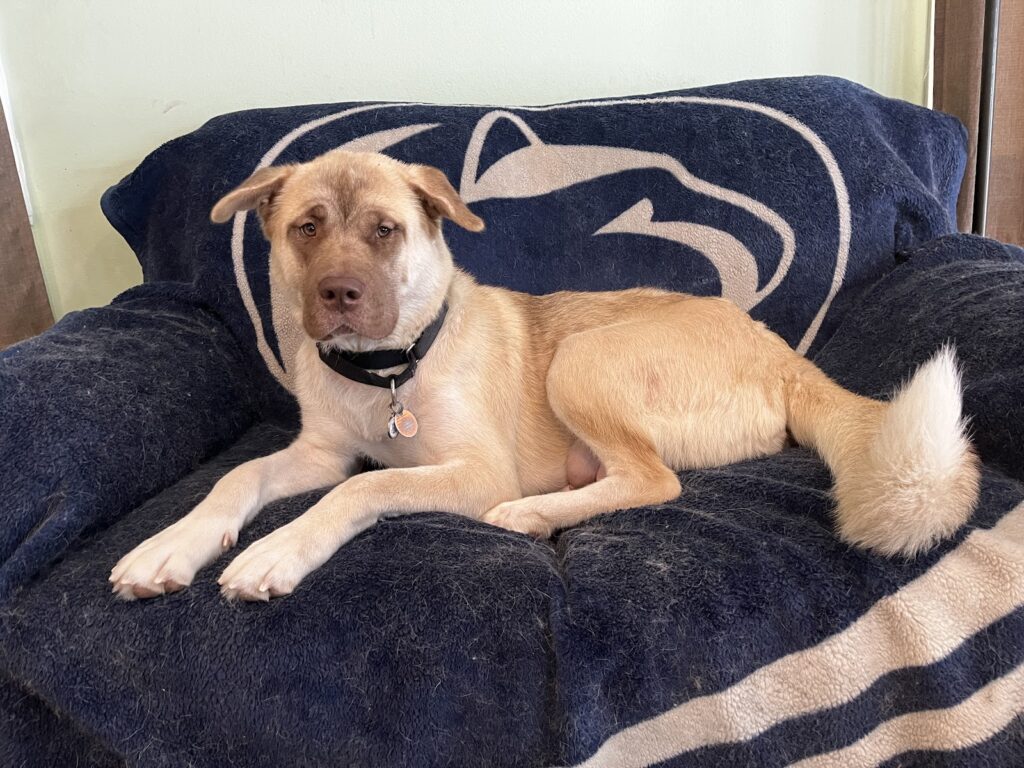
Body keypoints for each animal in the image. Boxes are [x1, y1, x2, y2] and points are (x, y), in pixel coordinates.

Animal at [112, 150, 983, 602]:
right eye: (307, 228)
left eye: (386, 230)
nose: (338, 296)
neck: (384, 373)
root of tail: (783, 354)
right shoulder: (317, 451)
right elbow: (239, 479)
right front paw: (174, 545)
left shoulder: (473, 469)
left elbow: (363, 488)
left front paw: (278, 551)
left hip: (583, 358)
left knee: (653, 479)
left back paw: (534, 512)